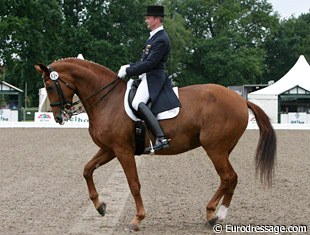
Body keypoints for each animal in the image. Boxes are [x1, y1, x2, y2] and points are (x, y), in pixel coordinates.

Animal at [34, 58, 276, 231]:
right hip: (223, 149)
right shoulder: (109, 149)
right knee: (229, 179)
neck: (107, 100)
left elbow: (133, 184)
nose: (59, 117)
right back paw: (214, 214)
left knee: (228, 177)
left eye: (50, 86)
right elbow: (87, 170)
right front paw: (100, 206)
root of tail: (241, 99)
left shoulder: (122, 150)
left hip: (215, 148)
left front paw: (137, 219)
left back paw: (216, 215)